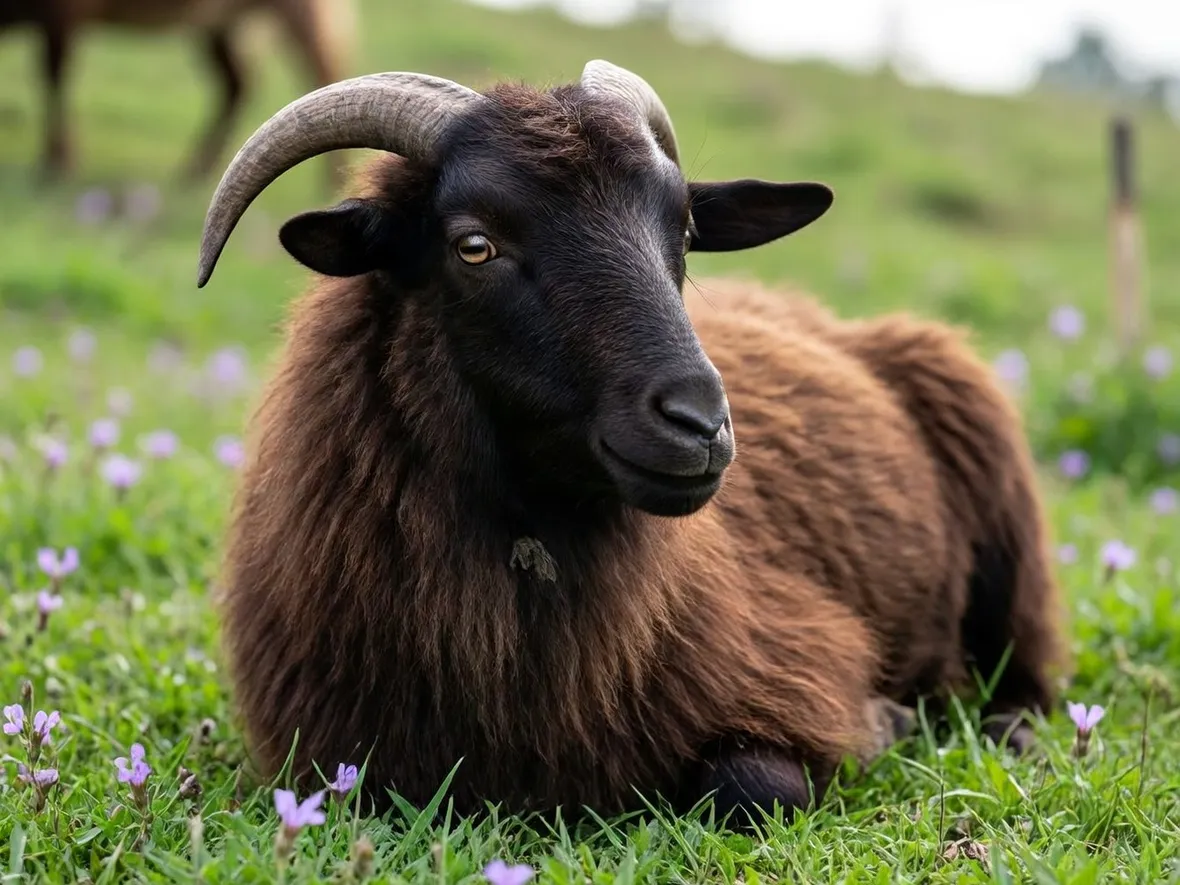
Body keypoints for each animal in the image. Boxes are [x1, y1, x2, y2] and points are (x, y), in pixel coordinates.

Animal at [0, 0, 354, 182]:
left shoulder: (62, 15)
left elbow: (54, 79)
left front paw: (57, 161)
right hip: (218, 22)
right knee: (236, 82)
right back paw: (195, 170)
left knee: (324, 70)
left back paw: (335, 178)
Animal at [194, 60, 1067, 828]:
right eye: (474, 245)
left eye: (682, 228)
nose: (701, 421)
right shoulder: (339, 765)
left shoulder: (795, 654)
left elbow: (752, 785)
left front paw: (884, 722)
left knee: (1026, 682)